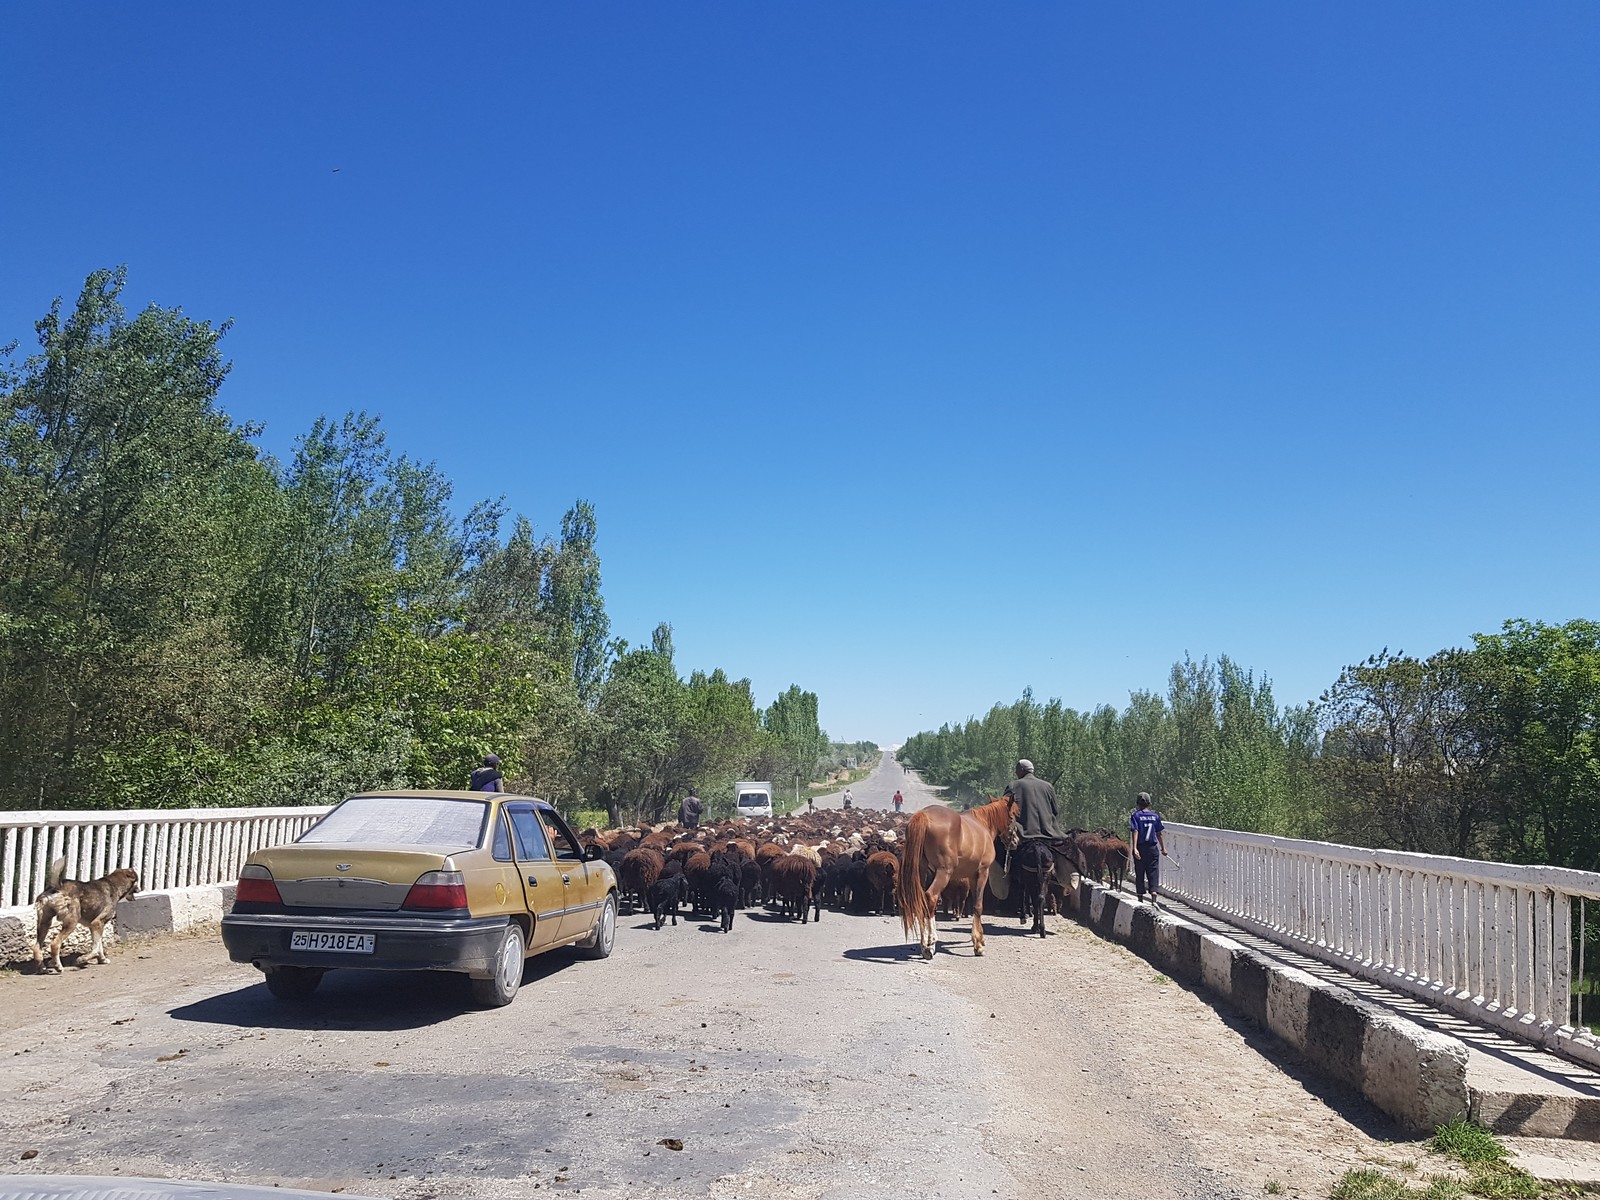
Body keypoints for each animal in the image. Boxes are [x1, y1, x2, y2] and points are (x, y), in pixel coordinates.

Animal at [896, 800, 1017, 960]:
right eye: (1013, 816)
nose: (1016, 840)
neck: (983, 824)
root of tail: (924, 815)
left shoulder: (971, 876)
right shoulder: (981, 873)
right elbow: (978, 906)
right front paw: (978, 944)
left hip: (921, 872)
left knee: (920, 900)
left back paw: (924, 946)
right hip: (944, 872)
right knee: (930, 897)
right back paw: (930, 942)